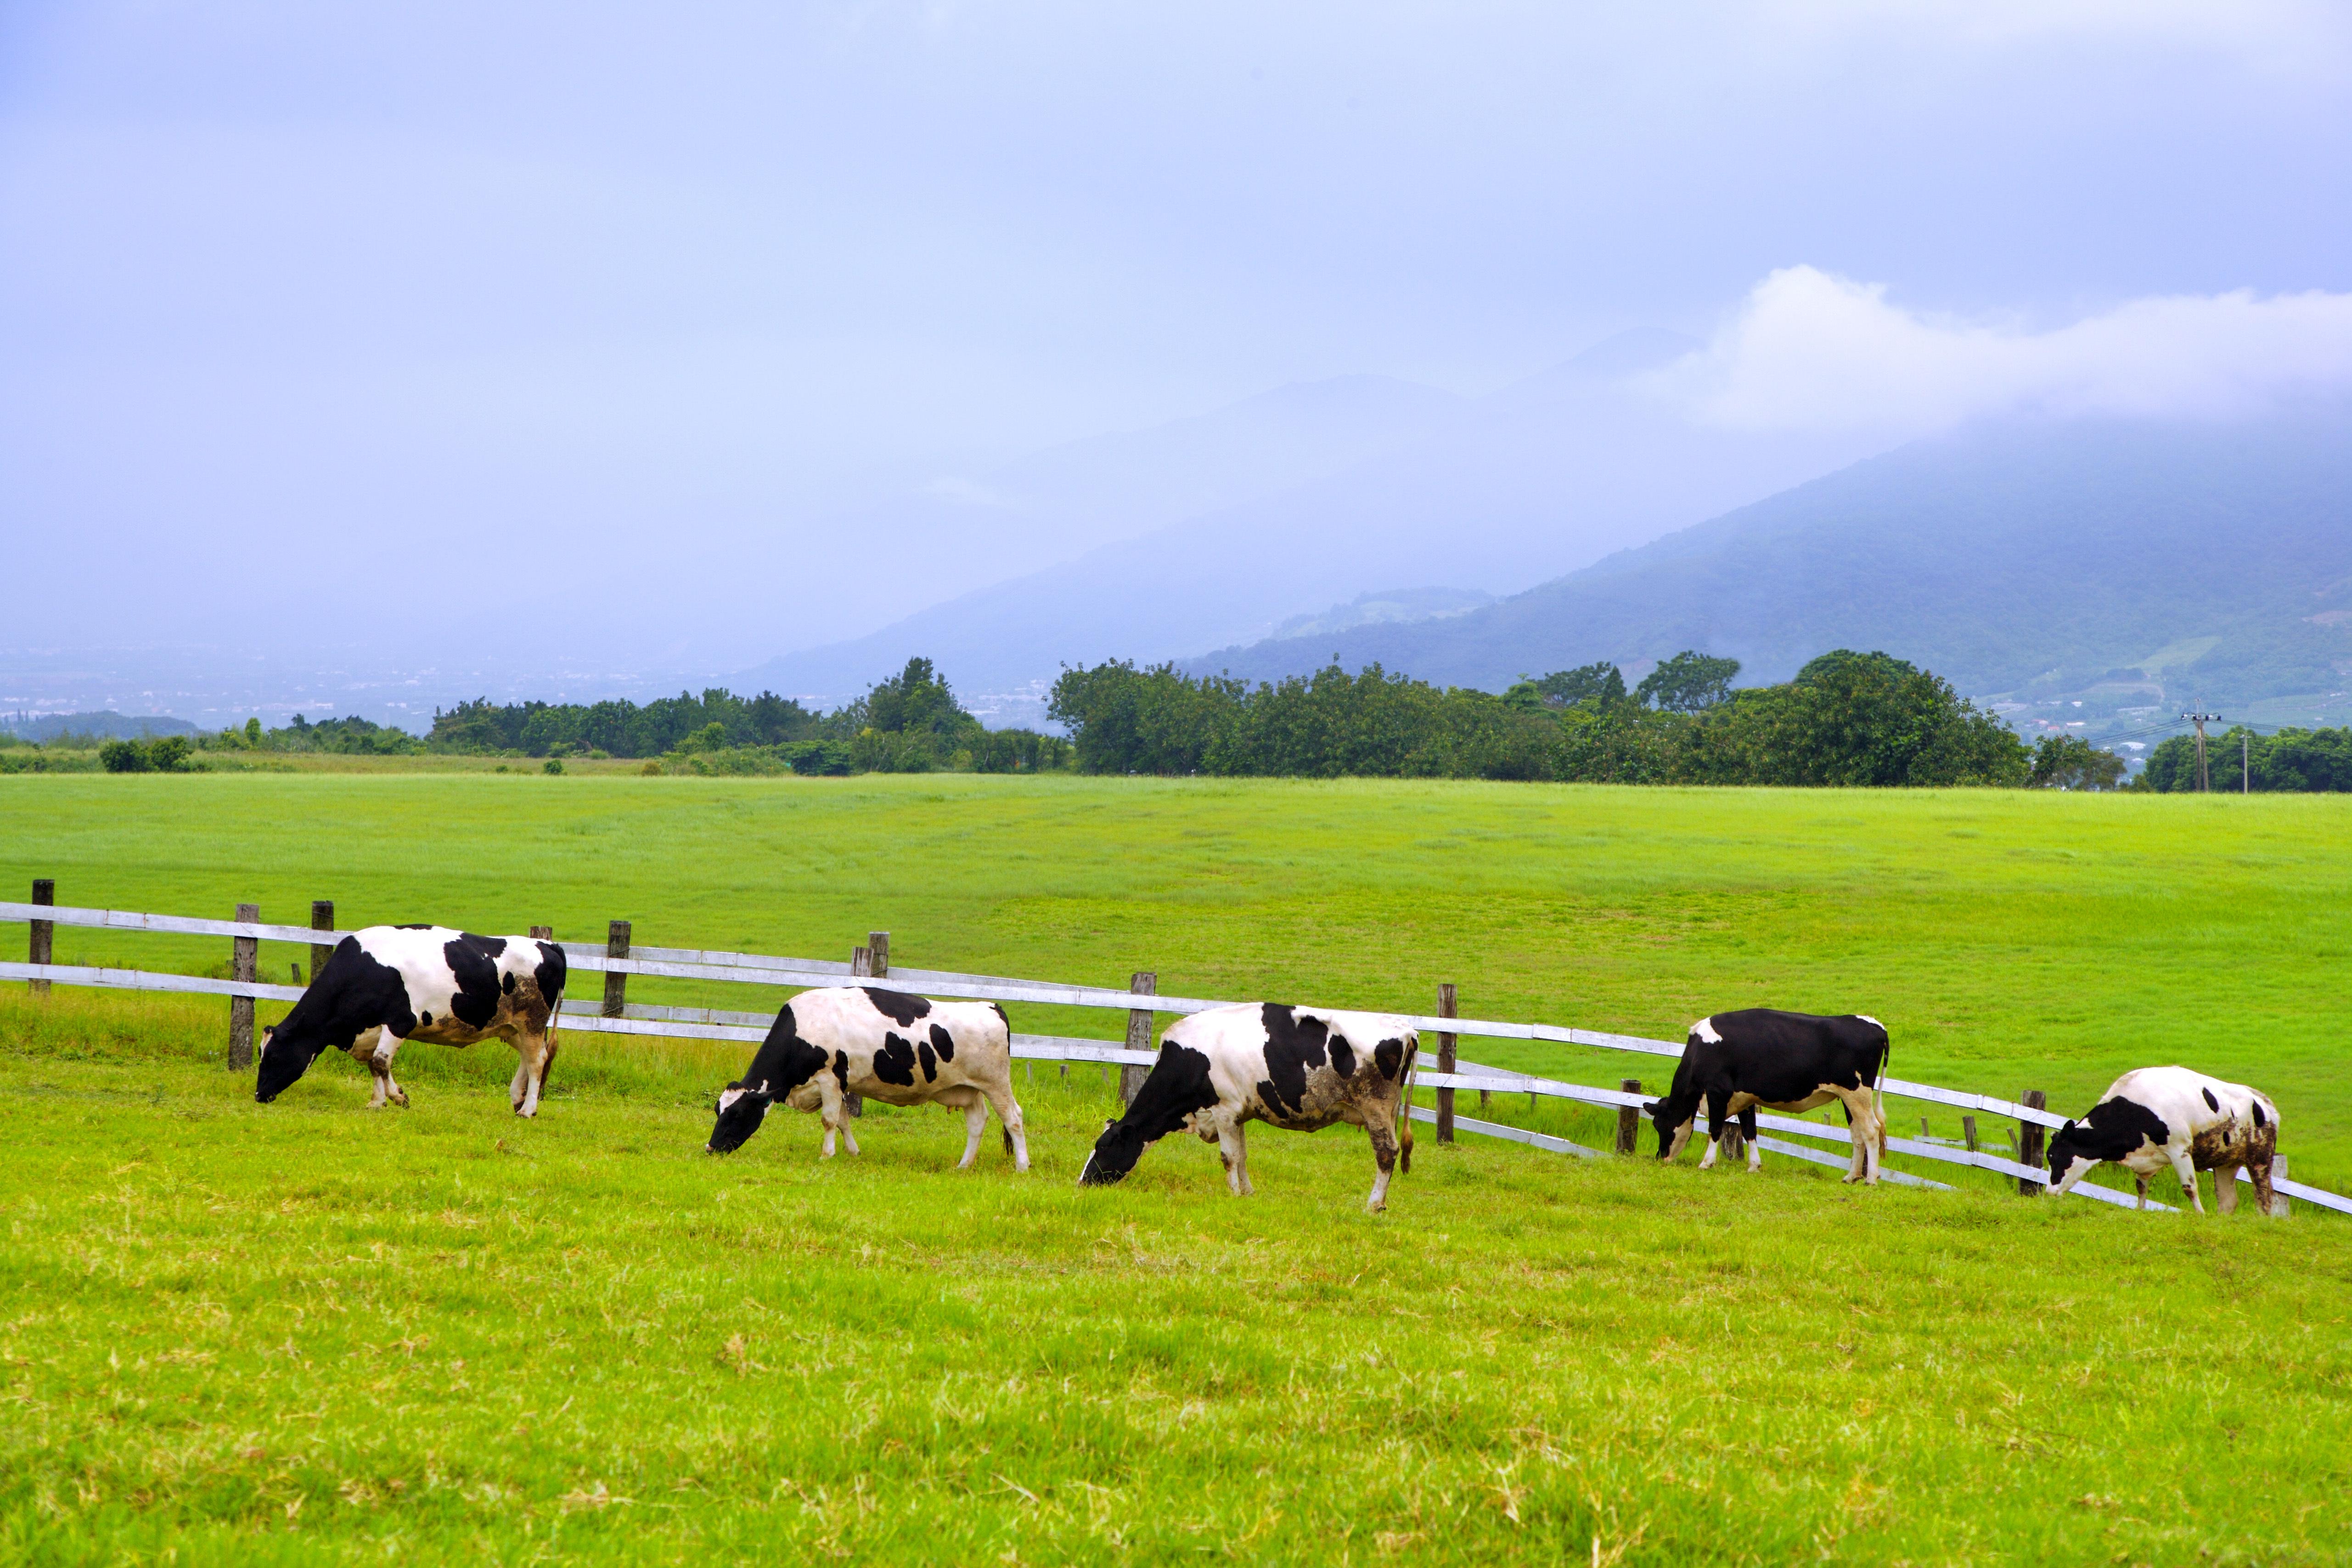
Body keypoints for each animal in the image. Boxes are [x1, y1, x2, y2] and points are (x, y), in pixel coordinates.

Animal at [255, 931, 571, 1114]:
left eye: (272, 1056)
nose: (258, 1095)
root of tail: (546, 944)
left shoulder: (401, 1021)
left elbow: (381, 1061)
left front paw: (399, 1098)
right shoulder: (372, 1029)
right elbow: (374, 1065)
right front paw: (377, 1102)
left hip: (532, 1020)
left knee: (537, 1061)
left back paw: (528, 1109)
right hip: (514, 1027)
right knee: (529, 1059)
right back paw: (517, 1099)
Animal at [696, 987, 1030, 1170]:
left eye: (738, 1113)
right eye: (717, 1109)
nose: (711, 1148)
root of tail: (991, 1006)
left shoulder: (830, 1079)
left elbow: (829, 1120)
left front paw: (826, 1155)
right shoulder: (840, 1085)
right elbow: (844, 1121)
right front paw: (853, 1153)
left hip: (996, 1083)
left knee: (1014, 1118)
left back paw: (1022, 1166)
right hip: (968, 1089)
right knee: (977, 1123)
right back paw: (963, 1165)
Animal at [1077, 1006, 1411, 1213]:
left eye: (1103, 1146)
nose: (1083, 1182)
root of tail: (1406, 1028)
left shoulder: (1223, 1109)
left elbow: (1229, 1157)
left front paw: (1234, 1194)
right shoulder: (1238, 1113)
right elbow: (1243, 1155)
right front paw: (1248, 1194)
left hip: (1375, 1107)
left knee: (1387, 1153)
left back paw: (1374, 1205)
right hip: (1388, 1111)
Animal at [1646, 1011, 1900, 1185]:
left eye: (1660, 1125)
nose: (1660, 1158)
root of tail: (1874, 1024)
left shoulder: (1718, 1092)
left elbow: (1715, 1129)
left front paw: (1706, 1163)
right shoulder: (1745, 1098)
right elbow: (1749, 1131)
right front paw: (1754, 1166)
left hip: (1858, 1092)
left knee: (1871, 1131)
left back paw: (1871, 1180)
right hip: (1849, 1098)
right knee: (1857, 1135)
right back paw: (1851, 1176)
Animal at [2041, 1067, 2277, 1213]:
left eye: (2056, 1157)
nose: (2050, 1192)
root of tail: (2264, 1101)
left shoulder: (2180, 1149)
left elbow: (2189, 1188)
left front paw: (2200, 1215)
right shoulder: (2144, 1160)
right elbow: (2141, 1188)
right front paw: (2140, 1210)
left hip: (2261, 1158)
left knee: (2265, 1199)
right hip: (2226, 1162)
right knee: (2228, 1202)